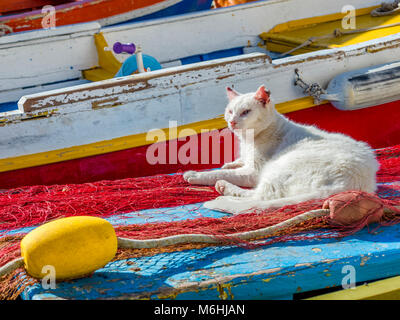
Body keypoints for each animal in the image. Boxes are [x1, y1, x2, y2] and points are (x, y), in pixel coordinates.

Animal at [183, 85, 380, 215]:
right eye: (230, 111)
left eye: (246, 112)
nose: (232, 122)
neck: (247, 140)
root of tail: (351, 183)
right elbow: (233, 164)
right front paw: (230, 164)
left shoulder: (253, 171)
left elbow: (219, 172)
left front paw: (196, 175)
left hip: (277, 168)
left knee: (259, 197)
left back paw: (224, 190)